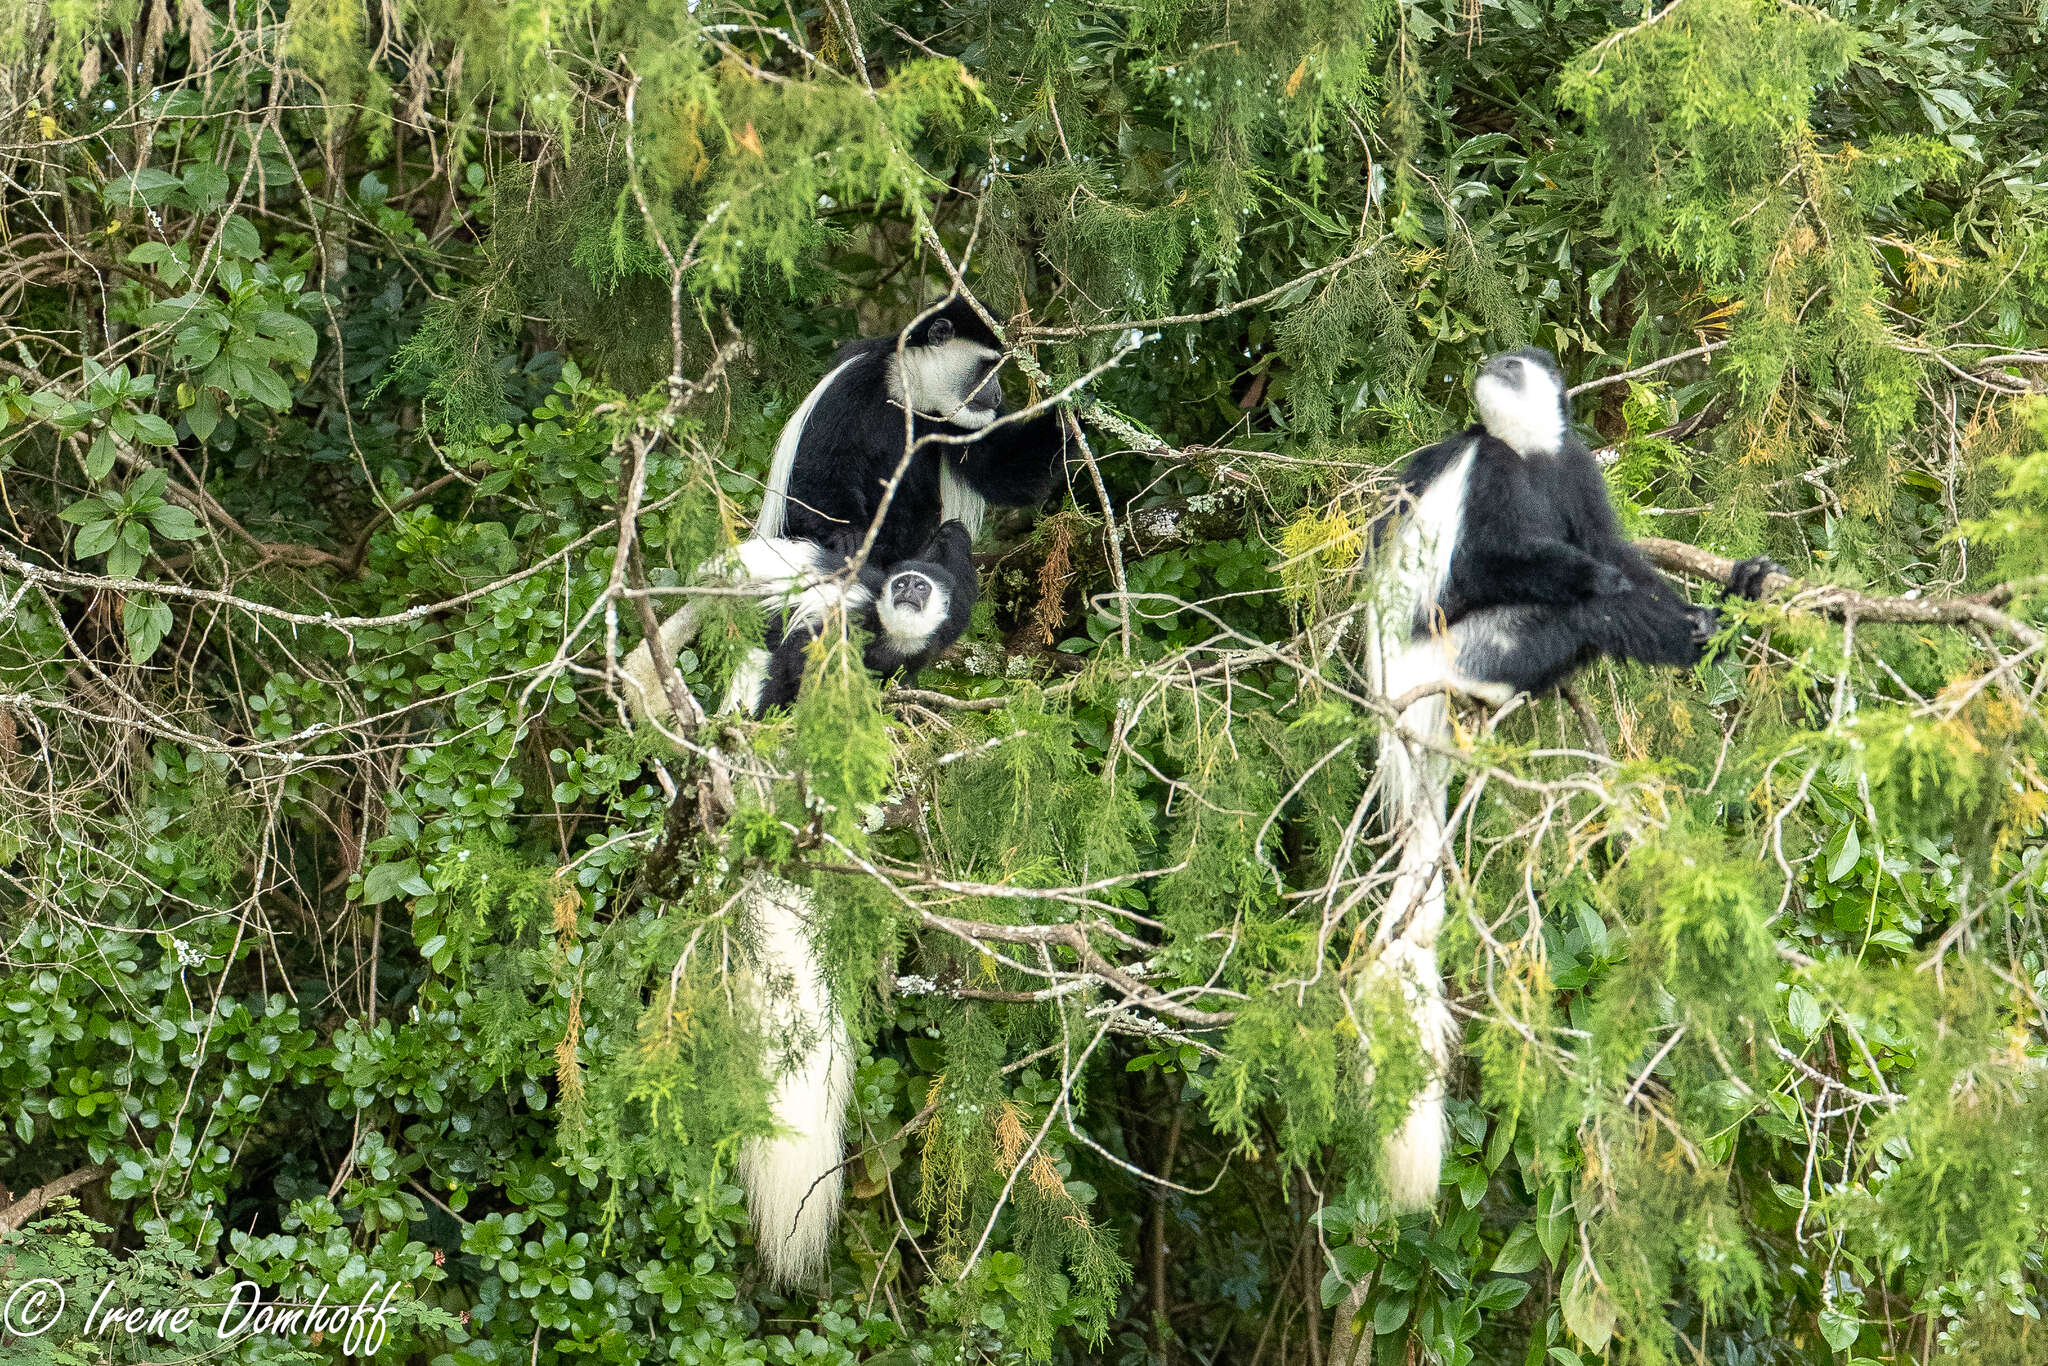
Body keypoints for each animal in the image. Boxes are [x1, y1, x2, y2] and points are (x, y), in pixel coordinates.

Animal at [757, 290, 1073, 565]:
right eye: (988, 368)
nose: (997, 396)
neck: (910, 390)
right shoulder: (851, 385)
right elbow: (815, 472)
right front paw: (847, 535)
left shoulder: (957, 420)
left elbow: (996, 468)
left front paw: (1068, 418)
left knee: (948, 536)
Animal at [1359, 348, 1777, 1212]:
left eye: (1515, 362)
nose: (1493, 362)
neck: (1529, 455)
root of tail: (1400, 701)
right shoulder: (1491, 479)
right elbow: (1496, 569)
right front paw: (1601, 583)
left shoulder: (1576, 469)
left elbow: (1621, 554)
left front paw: (1703, 599)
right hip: (1458, 651)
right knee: (1568, 615)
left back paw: (1720, 622)